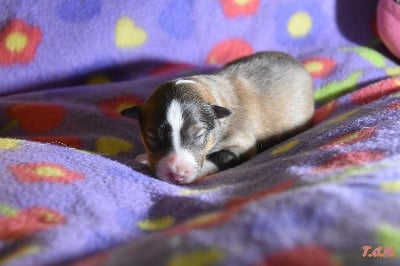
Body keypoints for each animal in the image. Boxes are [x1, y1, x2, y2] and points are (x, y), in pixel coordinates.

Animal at [120, 51, 314, 184]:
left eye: (199, 134)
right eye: (152, 136)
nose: (176, 174)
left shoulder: (242, 143)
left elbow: (217, 158)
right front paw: (144, 157)